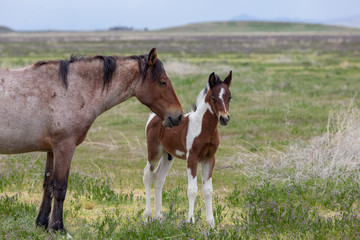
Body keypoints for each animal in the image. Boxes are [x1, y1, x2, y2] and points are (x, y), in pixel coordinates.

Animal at [143, 71, 231, 227]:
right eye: (214, 98)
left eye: (230, 97)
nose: (224, 118)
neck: (204, 128)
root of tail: (153, 117)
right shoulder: (192, 158)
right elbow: (192, 190)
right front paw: (190, 221)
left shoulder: (209, 158)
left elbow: (208, 190)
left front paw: (211, 224)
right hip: (154, 151)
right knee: (148, 174)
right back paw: (148, 216)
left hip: (168, 155)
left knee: (159, 177)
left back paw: (159, 217)